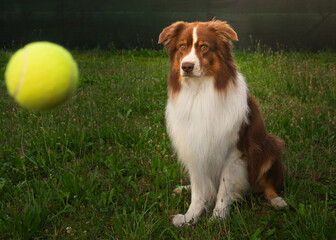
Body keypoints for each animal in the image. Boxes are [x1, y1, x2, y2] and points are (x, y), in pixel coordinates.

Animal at [159, 20, 288, 227]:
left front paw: (218, 218)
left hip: (271, 145)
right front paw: (190, 217)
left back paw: (277, 200)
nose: (186, 66)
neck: (199, 91)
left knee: (269, 185)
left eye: (204, 47)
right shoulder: (194, 147)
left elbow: (224, 188)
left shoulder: (234, 152)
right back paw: (184, 188)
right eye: (182, 47)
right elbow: (198, 191)